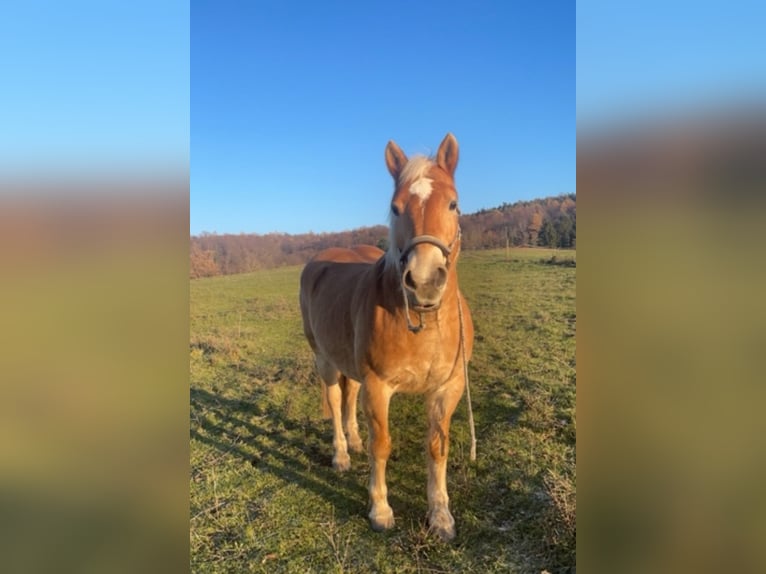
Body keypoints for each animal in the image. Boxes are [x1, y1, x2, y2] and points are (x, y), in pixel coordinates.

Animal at [300, 133, 474, 544]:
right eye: (395, 208)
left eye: (453, 203)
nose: (424, 281)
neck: (425, 323)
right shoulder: (378, 387)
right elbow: (381, 446)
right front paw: (379, 509)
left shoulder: (447, 388)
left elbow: (437, 447)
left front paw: (440, 516)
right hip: (325, 362)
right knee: (335, 401)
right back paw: (342, 454)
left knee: (348, 399)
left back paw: (352, 440)